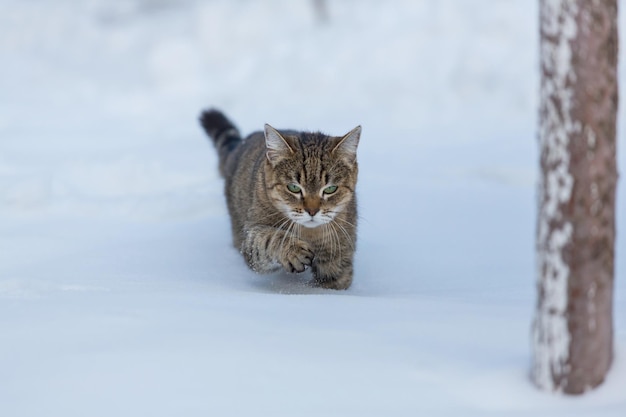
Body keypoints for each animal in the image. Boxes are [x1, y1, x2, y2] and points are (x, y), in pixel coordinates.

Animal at [197, 108, 358, 290]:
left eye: (330, 189)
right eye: (293, 187)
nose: (312, 211)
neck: (309, 233)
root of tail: (240, 143)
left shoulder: (338, 263)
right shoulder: (251, 237)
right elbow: (267, 238)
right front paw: (292, 250)